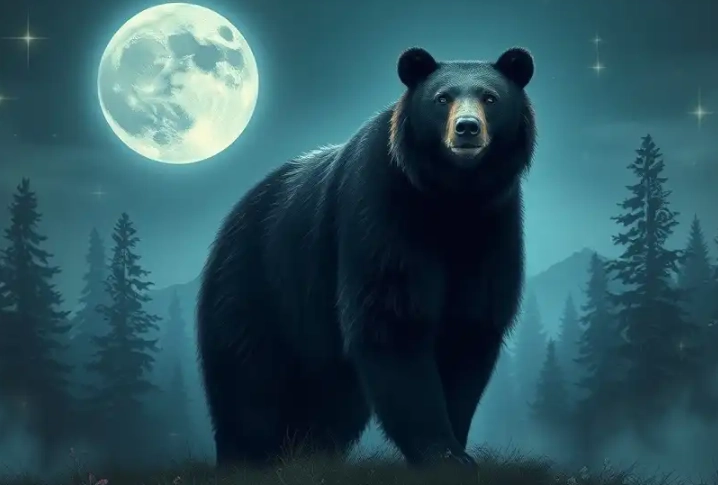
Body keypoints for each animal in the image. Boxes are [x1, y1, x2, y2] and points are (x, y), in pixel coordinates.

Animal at [197, 45, 536, 468]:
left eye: (490, 97)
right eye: (442, 98)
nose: (467, 128)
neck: (449, 201)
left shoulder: (493, 228)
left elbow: (469, 330)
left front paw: (457, 445)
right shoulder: (381, 210)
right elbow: (392, 321)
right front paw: (442, 453)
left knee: (331, 398)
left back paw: (311, 452)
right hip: (256, 286)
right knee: (248, 382)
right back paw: (248, 456)